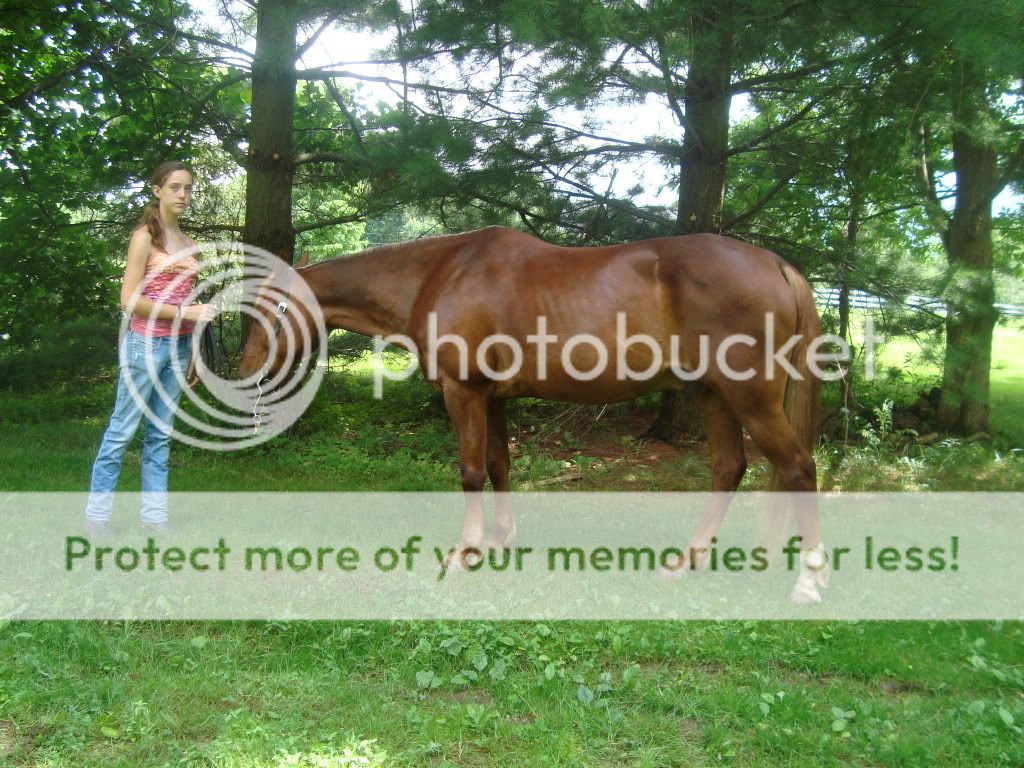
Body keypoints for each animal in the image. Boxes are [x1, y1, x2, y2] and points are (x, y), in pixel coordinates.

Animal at [238, 226, 831, 602]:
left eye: (267, 312)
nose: (242, 377)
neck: (440, 274)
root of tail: (775, 264)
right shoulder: (493, 398)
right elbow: (499, 465)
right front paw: (501, 539)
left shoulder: (463, 392)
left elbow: (471, 471)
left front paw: (465, 552)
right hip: (713, 395)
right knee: (729, 468)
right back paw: (688, 560)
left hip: (749, 397)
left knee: (799, 468)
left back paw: (808, 582)